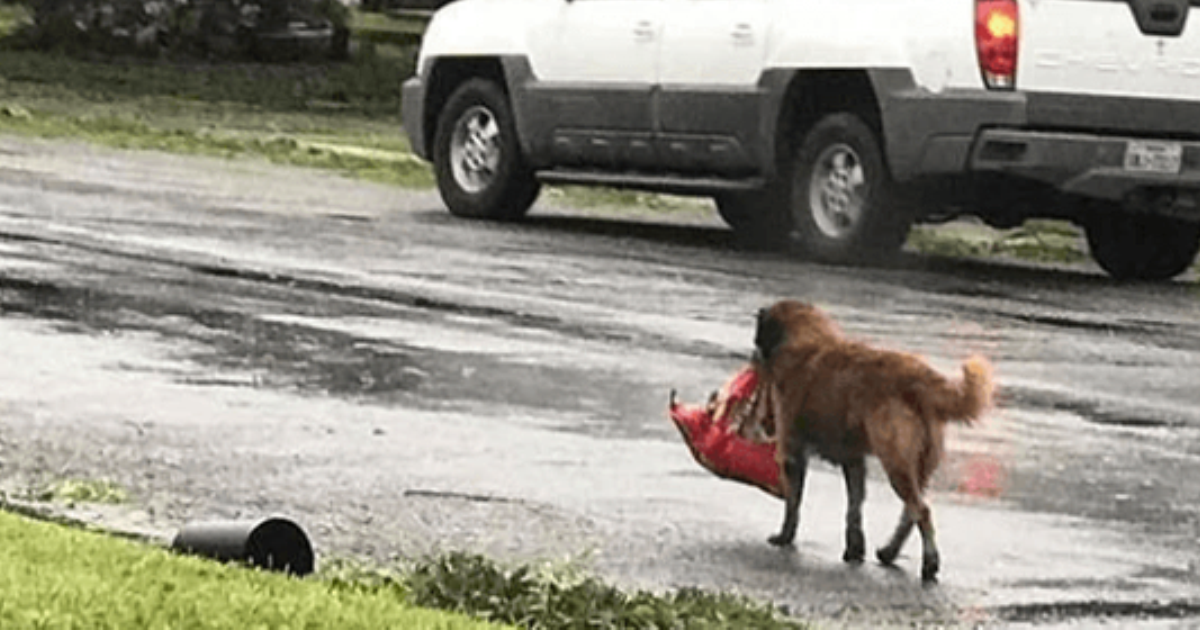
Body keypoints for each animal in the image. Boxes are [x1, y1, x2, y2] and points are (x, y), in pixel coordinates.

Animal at [748, 297, 993, 583]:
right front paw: (854, 549)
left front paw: (785, 537)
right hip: (918, 466)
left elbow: (793, 504)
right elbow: (854, 507)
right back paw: (889, 552)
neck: (807, 340)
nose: (753, 356)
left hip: (896, 463)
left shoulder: (793, 454)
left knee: (921, 510)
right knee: (911, 512)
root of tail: (917, 376)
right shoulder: (854, 461)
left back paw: (929, 564)